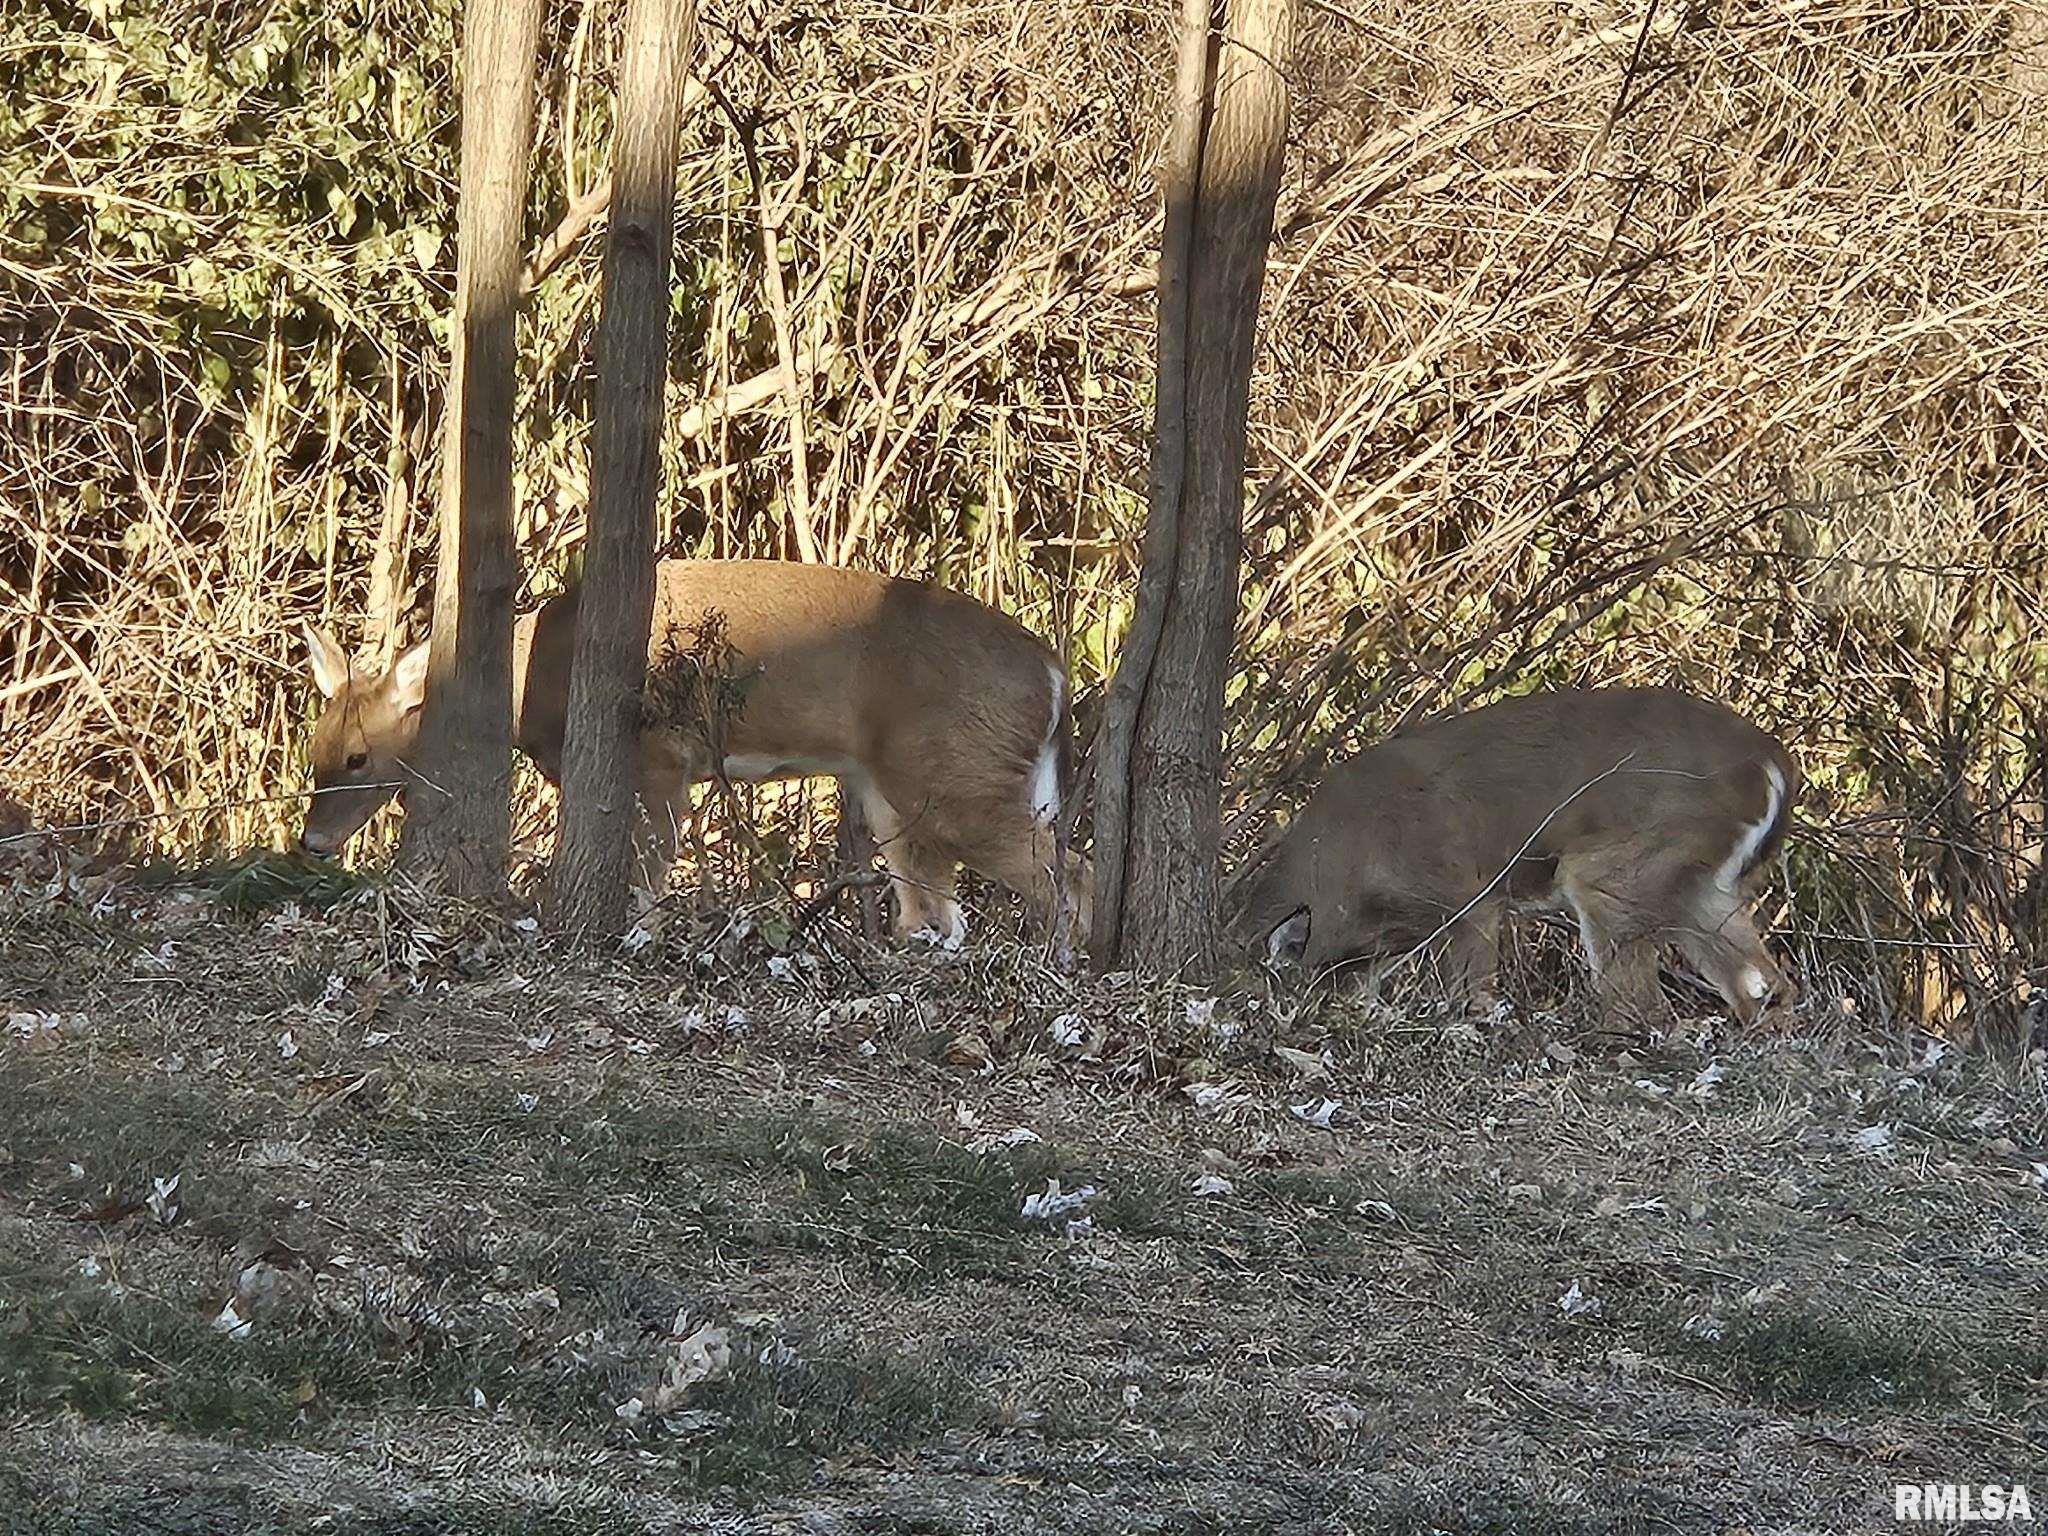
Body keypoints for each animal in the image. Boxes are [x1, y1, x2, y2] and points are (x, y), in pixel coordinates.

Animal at [299, 565, 1089, 950]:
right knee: (939, 903)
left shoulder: (657, 758)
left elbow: (652, 865)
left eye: (360, 758)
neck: (539, 683)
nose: (309, 842)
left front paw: (637, 938)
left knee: (1062, 873)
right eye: (316, 749)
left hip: (957, 770)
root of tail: (1056, 674)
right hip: (897, 787)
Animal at [1220, 688, 1802, 1028]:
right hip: (1700, 883)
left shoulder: (1467, 890)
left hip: (1623, 867)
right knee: (1765, 983)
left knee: (1644, 1001)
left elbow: (1471, 985)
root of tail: (1773, 765)